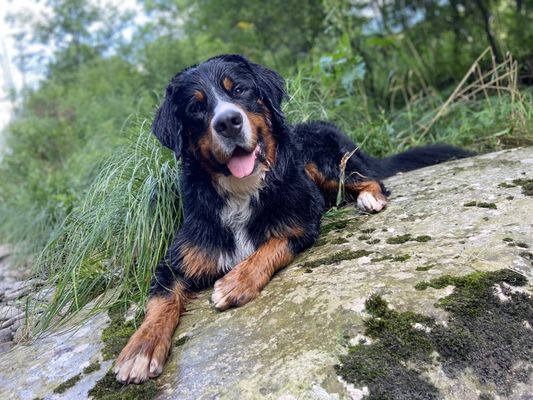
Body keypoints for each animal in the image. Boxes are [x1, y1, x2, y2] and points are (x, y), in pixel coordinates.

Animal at [112, 54, 470, 382]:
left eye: (239, 89)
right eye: (195, 108)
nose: (228, 122)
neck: (243, 192)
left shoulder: (300, 222)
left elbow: (270, 246)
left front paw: (236, 282)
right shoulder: (175, 261)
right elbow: (160, 301)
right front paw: (140, 349)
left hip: (323, 163)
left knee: (371, 180)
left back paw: (369, 198)